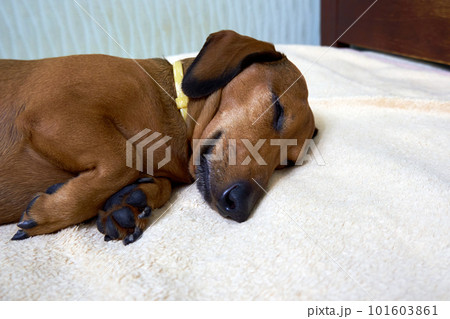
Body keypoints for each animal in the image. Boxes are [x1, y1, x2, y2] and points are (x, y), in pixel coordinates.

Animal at [0, 30, 314, 245]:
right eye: (278, 110)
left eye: (285, 163)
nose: (240, 207)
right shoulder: (51, 112)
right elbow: (125, 159)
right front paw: (50, 212)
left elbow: (150, 180)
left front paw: (130, 202)